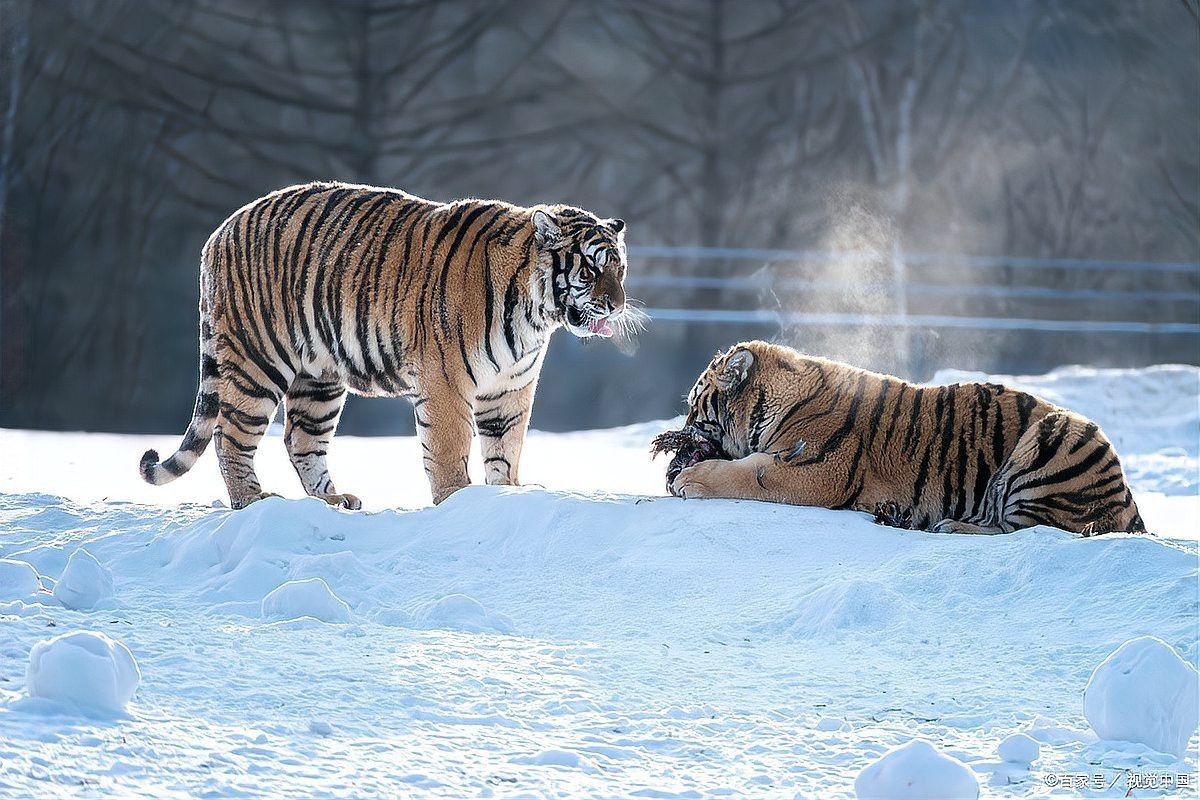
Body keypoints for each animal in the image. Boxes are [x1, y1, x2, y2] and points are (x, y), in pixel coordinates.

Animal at [139, 181, 637, 509]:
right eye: (592, 269)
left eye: (620, 269)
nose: (616, 305)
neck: (536, 316)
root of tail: (220, 231)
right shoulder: (447, 382)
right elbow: (449, 447)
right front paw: (457, 499)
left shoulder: (510, 389)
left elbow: (505, 448)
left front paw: (508, 495)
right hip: (257, 359)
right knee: (231, 434)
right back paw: (253, 500)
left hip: (317, 377)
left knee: (301, 437)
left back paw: (334, 501)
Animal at [668, 340, 1146, 535]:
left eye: (694, 406)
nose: (679, 432)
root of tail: (1128, 498)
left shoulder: (814, 469)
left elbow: (746, 474)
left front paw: (690, 479)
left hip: (1057, 436)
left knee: (1029, 530)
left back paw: (947, 526)